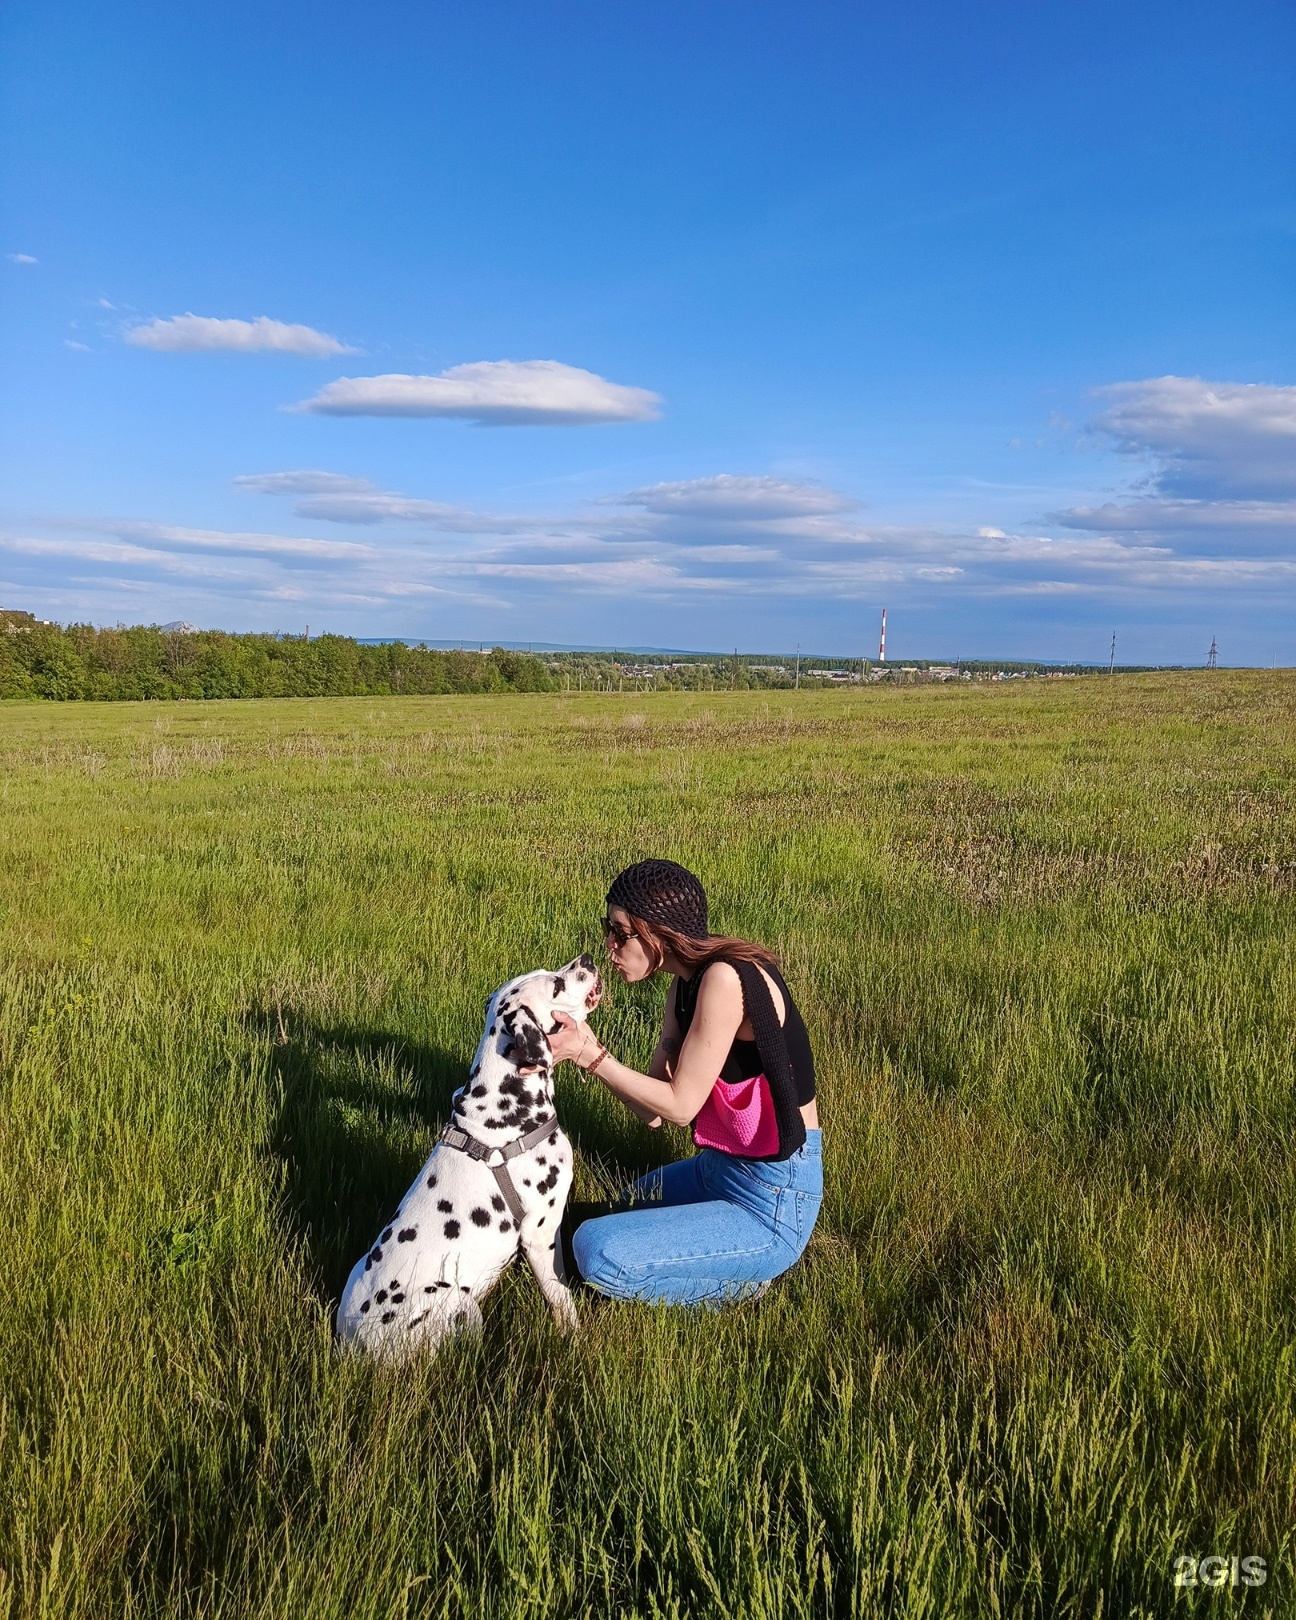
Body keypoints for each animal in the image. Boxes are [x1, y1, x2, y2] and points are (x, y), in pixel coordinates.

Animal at [332, 952, 599, 1360]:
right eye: (556, 984)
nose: (587, 959)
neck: (505, 1107)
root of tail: (354, 1347)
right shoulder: (540, 1234)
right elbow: (561, 1296)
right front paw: (575, 1337)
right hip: (460, 1301)